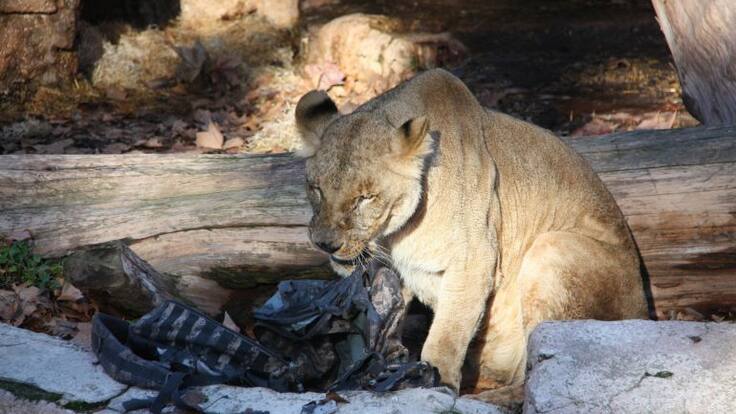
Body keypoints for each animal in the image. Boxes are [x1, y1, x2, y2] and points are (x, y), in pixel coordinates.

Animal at [294, 68, 648, 402]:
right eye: (316, 189)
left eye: (365, 198)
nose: (325, 243)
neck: (395, 234)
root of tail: (645, 314)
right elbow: (385, 313)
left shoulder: (475, 260)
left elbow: (447, 335)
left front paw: (435, 381)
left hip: (553, 246)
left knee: (543, 370)